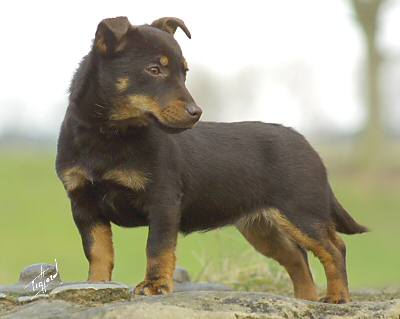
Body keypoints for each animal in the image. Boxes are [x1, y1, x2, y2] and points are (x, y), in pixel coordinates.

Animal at [54, 16, 368, 304]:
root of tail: (308, 145)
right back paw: (306, 299)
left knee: (334, 248)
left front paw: (155, 286)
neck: (108, 134)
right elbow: (98, 251)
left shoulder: (163, 201)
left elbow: (157, 248)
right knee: (297, 257)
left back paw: (338, 297)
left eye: (184, 73)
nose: (196, 112)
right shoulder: (83, 204)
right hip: (262, 227)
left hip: (301, 211)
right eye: (154, 70)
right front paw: (96, 285)